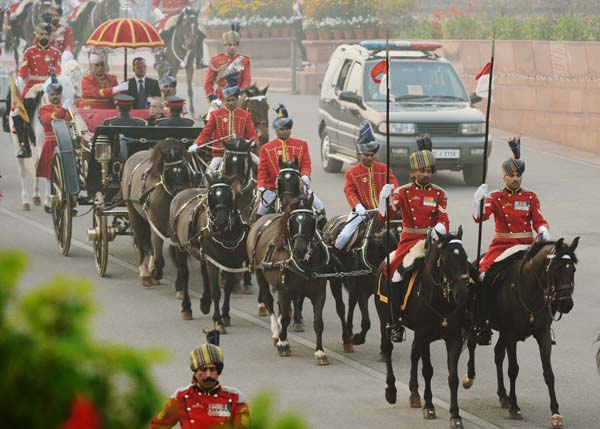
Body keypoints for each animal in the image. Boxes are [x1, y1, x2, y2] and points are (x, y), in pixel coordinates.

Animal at [120, 139, 196, 288]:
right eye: (168, 173)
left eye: (185, 169)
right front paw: (155, 272)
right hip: (134, 213)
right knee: (141, 241)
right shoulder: (157, 226)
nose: (181, 196)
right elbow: (159, 257)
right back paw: (145, 273)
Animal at [246, 195, 330, 364]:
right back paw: (276, 332)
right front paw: (283, 343)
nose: (300, 249)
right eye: (292, 221)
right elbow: (285, 318)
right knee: (268, 300)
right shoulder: (284, 292)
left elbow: (318, 322)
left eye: (312, 220)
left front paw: (320, 352)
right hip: (260, 274)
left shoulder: (319, 294)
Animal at [462, 237, 580, 428]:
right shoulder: (511, 335)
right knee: (472, 342)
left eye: (573, 270)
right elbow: (513, 369)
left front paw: (555, 413)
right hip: (475, 318)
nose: (565, 304)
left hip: (502, 332)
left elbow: (548, 372)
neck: (530, 288)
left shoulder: (542, 334)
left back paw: (503, 395)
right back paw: (470, 377)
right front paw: (515, 407)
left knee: (498, 355)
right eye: (556, 268)